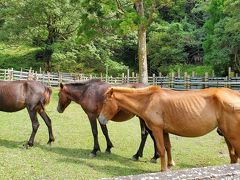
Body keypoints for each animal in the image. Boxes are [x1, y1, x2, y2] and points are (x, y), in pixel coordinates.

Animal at [99, 87, 240, 172]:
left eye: (105, 102)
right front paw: (170, 165)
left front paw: (163, 170)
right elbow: (168, 147)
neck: (149, 101)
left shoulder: (157, 130)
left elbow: (161, 149)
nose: (100, 119)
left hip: (232, 135)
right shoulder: (165, 131)